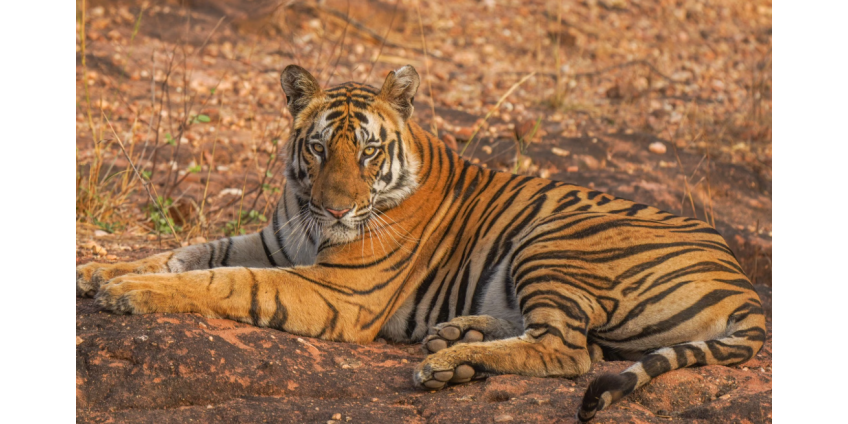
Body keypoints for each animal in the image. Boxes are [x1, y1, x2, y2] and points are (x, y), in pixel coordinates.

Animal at [76, 64, 765, 421]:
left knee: (569, 353)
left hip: (553, 240)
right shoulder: (276, 243)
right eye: (318, 146)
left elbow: (224, 280)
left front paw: (128, 291)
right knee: (577, 342)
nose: (336, 207)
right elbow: (195, 251)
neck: (309, 217)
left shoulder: (339, 291)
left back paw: (444, 361)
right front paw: (99, 270)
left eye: (368, 150)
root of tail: (744, 283)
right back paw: (456, 342)